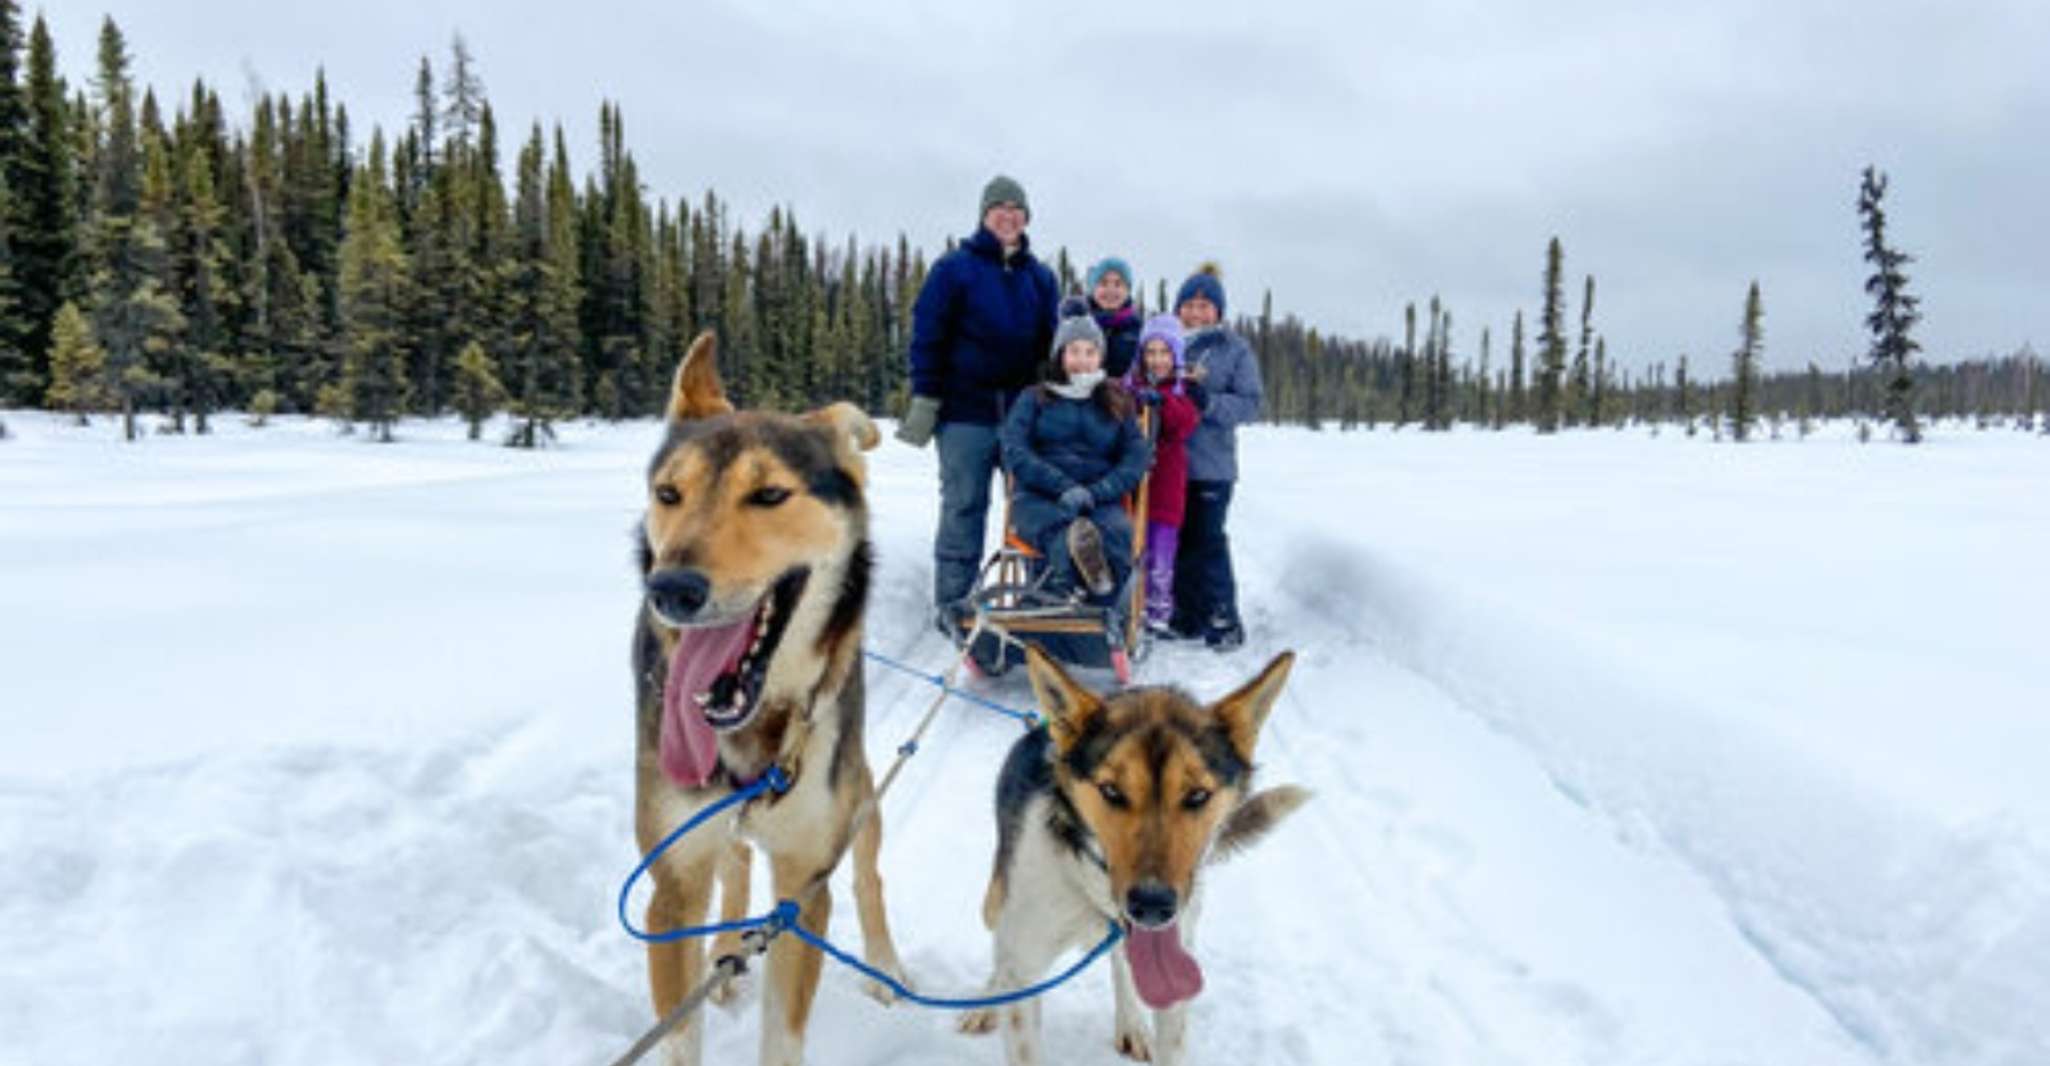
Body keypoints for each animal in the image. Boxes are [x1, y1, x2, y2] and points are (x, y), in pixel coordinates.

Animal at [631, 332, 906, 1066]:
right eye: (669, 492)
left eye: (770, 493)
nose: (671, 588)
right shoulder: (672, 890)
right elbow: (680, 1039)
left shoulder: (803, 891)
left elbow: (783, 1033)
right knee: (734, 867)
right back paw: (726, 952)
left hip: (859, 793)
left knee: (869, 874)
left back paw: (885, 966)